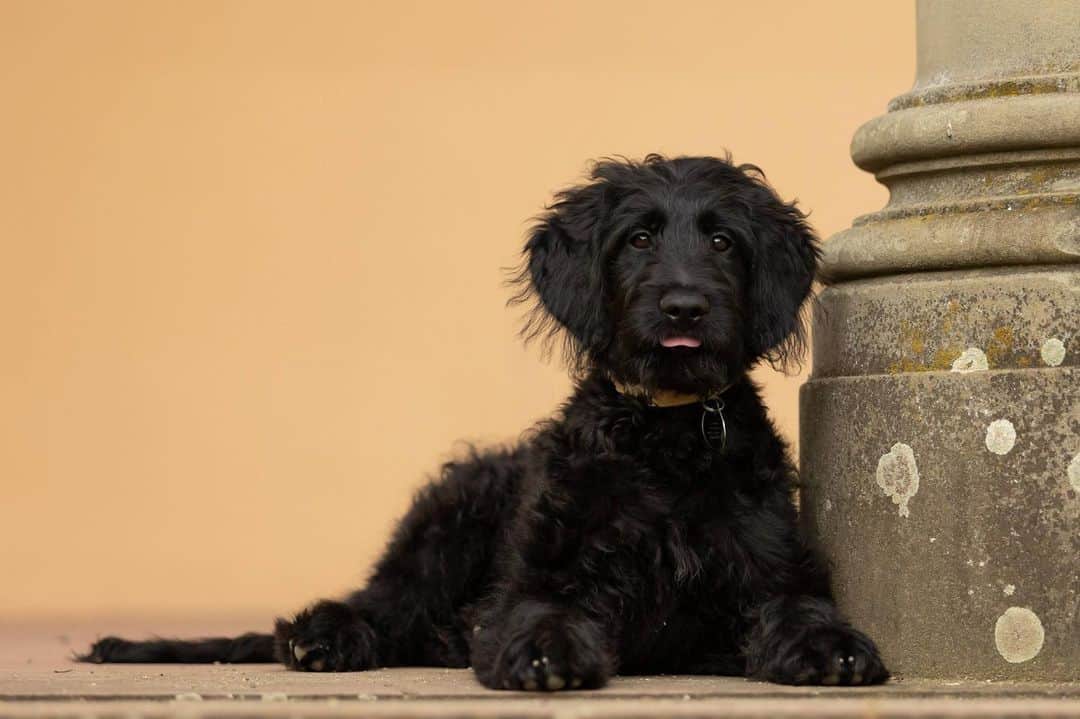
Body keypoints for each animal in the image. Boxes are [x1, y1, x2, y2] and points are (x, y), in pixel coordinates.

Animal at [84, 158, 885, 690]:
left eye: (723, 242)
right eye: (638, 239)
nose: (684, 308)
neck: (665, 436)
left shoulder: (772, 566)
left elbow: (799, 605)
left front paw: (832, 645)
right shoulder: (540, 573)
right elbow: (534, 611)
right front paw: (543, 650)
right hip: (446, 526)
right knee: (375, 605)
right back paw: (326, 637)